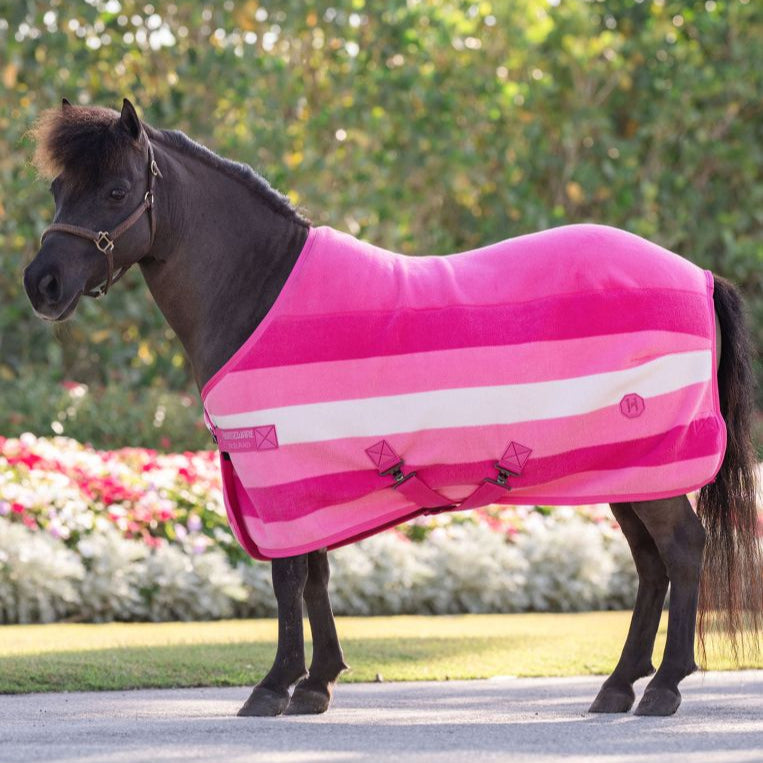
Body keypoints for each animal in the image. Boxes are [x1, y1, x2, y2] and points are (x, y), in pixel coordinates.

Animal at [23, 99, 761, 718]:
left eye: (116, 191)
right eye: (57, 190)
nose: (41, 284)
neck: (259, 289)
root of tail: (699, 275)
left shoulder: (281, 469)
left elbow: (289, 577)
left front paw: (273, 686)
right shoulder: (311, 479)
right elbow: (315, 575)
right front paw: (315, 683)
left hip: (651, 466)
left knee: (682, 551)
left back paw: (663, 687)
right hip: (623, 470)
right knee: (650, 565)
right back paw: (617, 685)